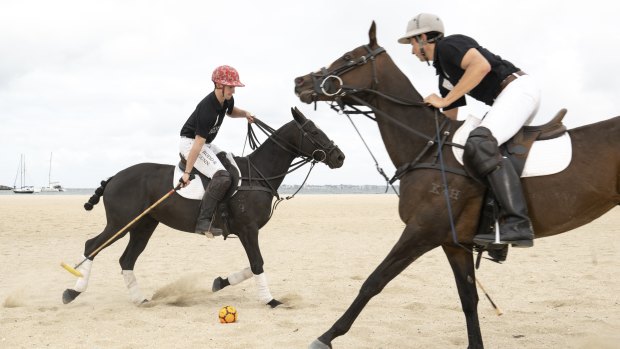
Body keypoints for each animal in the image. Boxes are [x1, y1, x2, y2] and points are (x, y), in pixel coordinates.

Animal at [61, 108, 348, 308]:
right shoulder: (248, 229)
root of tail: (113, 178)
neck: (259, 174)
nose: (340, 156)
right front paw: (271, 300)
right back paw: (72, 291)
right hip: (121, 222)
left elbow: (251, 264)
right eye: (314, 132)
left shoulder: (246, 231)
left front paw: (221, 282)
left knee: (127, 259)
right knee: (92, 246)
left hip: (144, 224)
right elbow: (257, 263)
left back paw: (140, 299)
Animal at [294, 22, 616, 348]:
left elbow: (374, 281)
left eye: (348, 57)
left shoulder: (421, 232)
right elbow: (468, 298)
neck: (427, 145)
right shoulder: (453, 243)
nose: (300, 82)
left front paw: (326, 336)